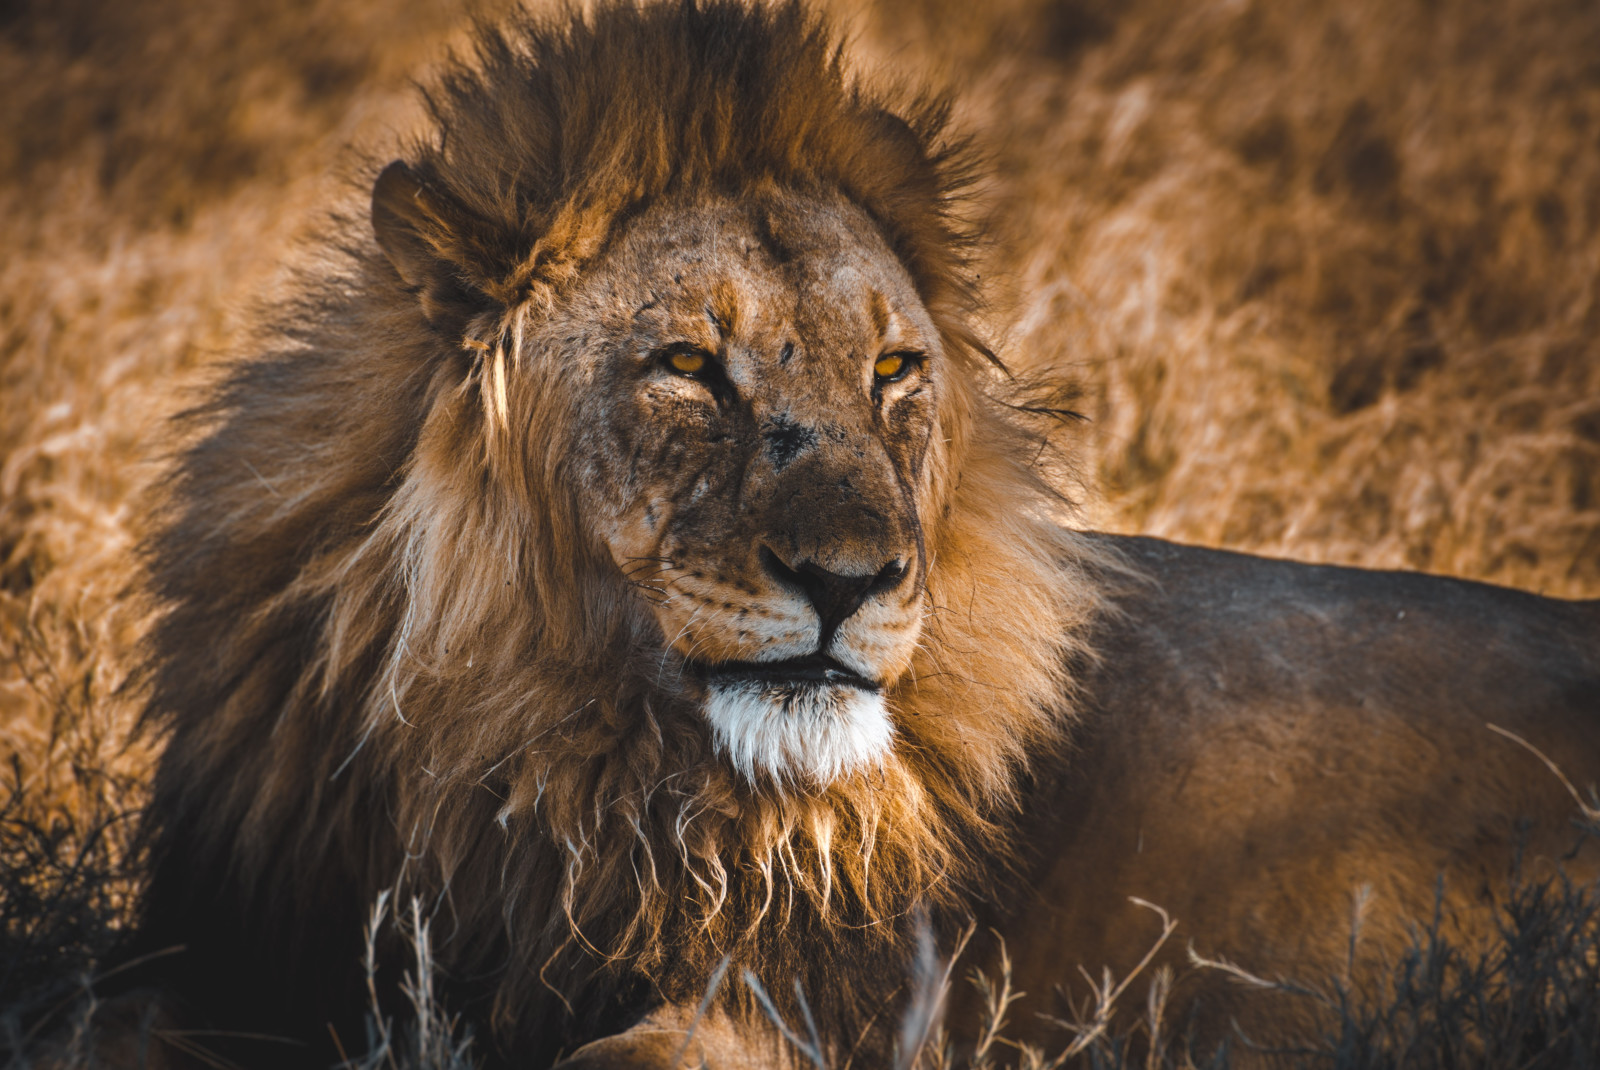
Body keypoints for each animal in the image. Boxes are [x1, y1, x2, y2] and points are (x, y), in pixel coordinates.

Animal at [116, 2, 1600, 1068]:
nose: (856, 579)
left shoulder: (828, 1004)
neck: (545, 751)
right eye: (687, 365)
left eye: (892, 370)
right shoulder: (222, 955)